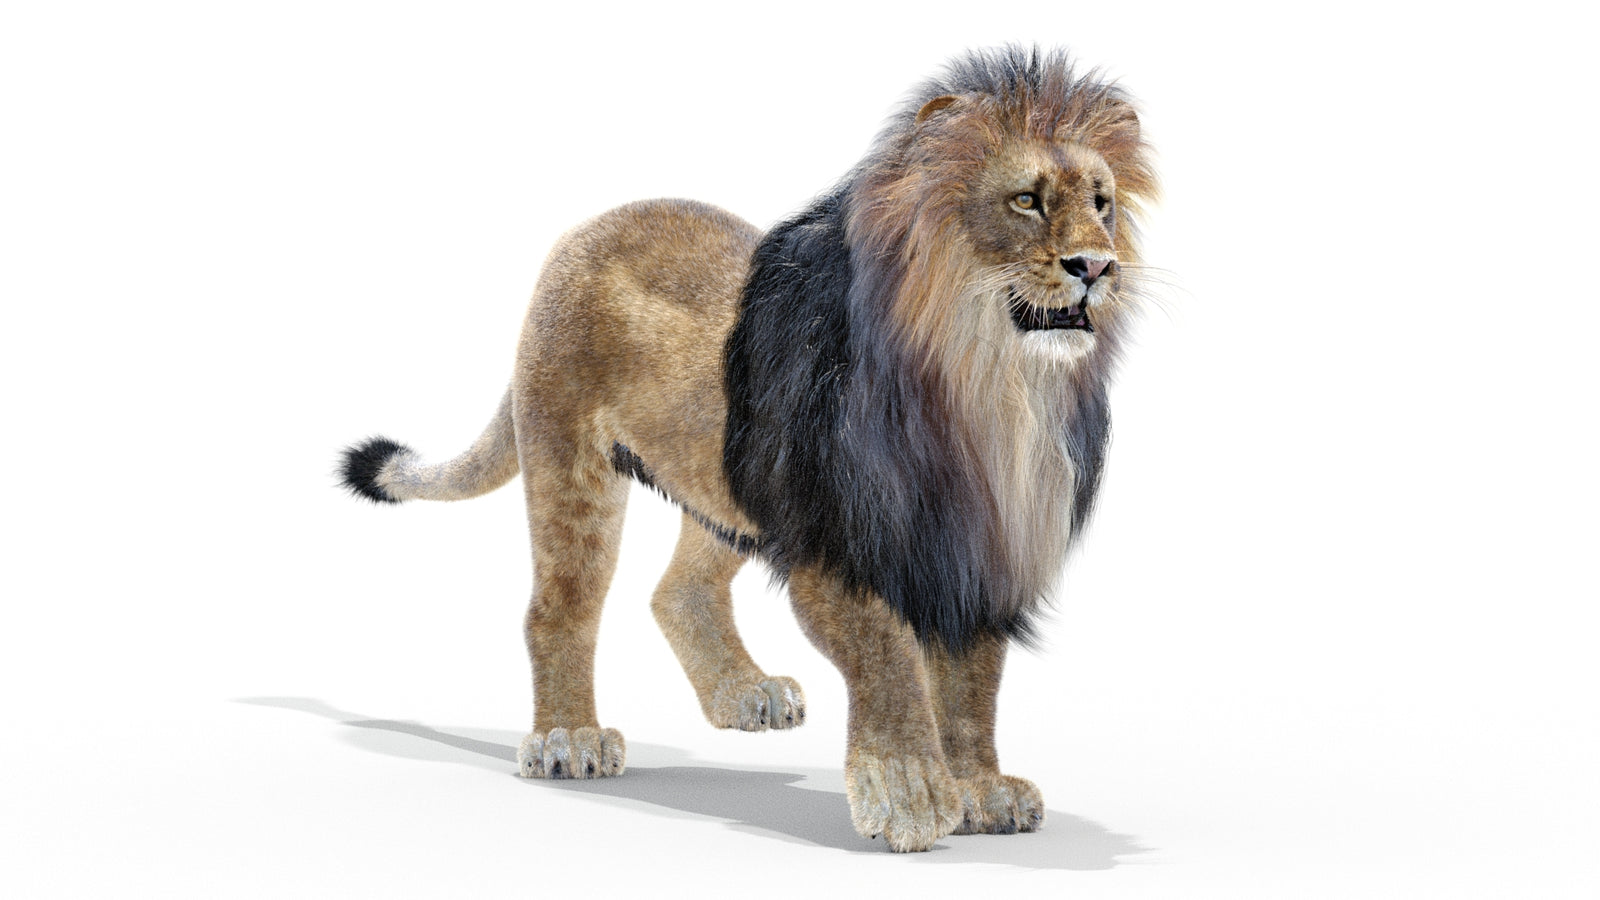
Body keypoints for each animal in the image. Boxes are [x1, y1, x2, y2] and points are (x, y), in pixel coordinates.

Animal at [338, 46, 1157, 852]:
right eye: (1027, 200)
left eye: (1102, 202)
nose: (1097, 266)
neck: (992, 388)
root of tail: (584, 232)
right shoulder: (835, 541)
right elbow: (889, 659)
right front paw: (910, 791)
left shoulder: (979, 549)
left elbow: (972, 682)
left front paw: (982, 788)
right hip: (571, 463)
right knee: (558, 606)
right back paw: (568, 739)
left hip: (728, 490)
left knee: (677, 592)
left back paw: (744, 694)